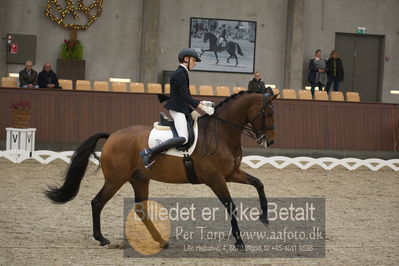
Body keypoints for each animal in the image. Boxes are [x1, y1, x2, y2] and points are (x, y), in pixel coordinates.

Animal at [46, 91, 278, 249]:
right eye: (266, 112)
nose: (270, 141)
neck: (220, 133)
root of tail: (112, 136)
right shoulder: (215, 179)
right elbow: (231, 206)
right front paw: (239, 242)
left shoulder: (230, 174)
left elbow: (259, 183)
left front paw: (265, 217)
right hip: (115, 179)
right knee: (97, 202)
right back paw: (102, 238)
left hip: (139, 179)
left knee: (141, 209)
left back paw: (160, 241)